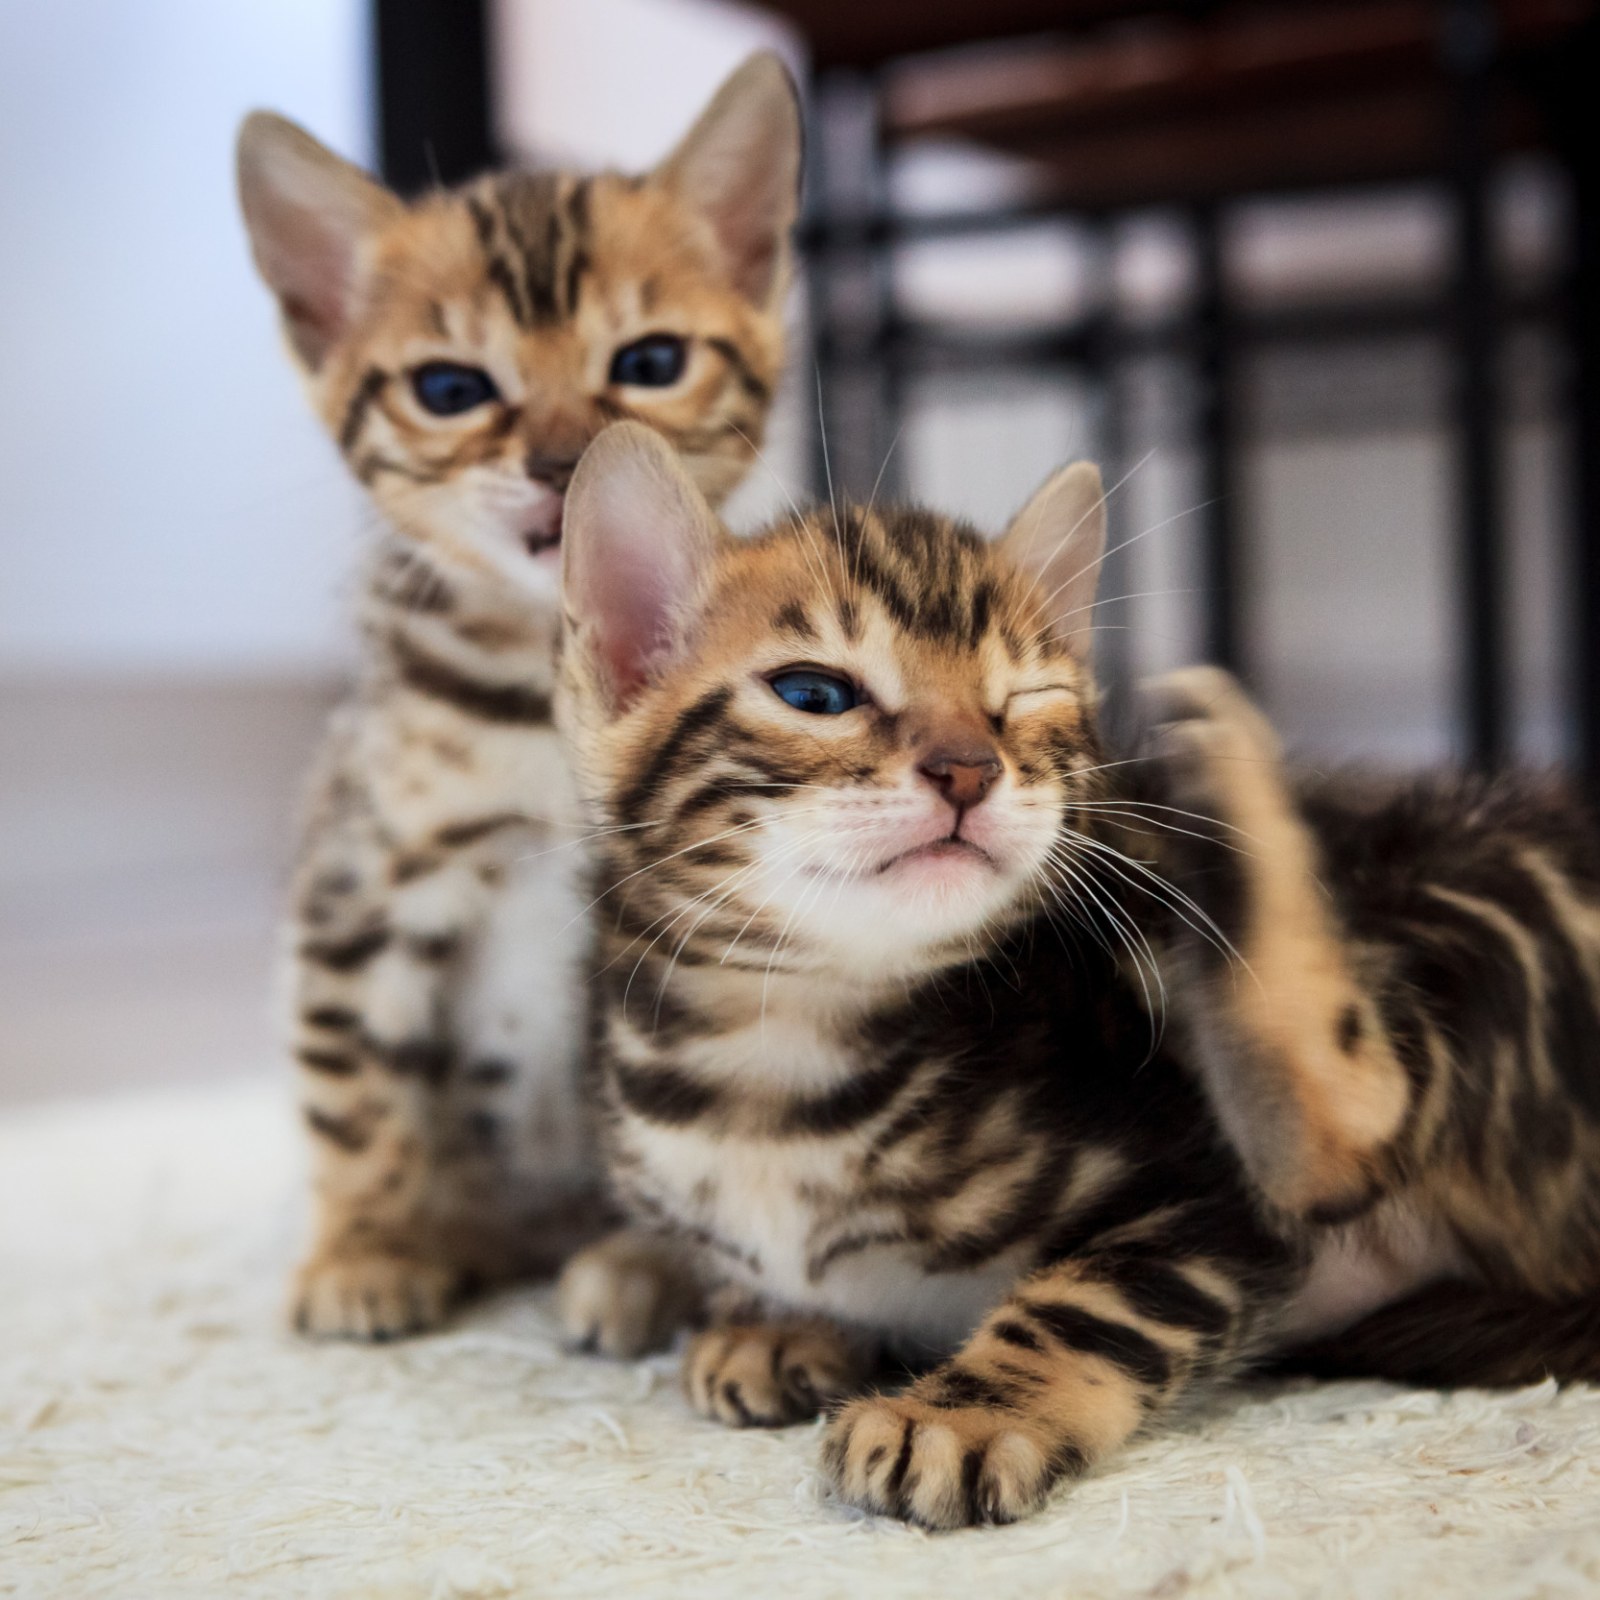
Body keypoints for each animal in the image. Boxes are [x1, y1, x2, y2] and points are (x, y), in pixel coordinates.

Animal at [233, 53, 806, 1337]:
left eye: (649, 363)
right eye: (451, 387)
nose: (558, 459)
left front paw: (659, 1263)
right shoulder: (360, 884)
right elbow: (355, 1086)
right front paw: (365, 1245)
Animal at [553, 425, 1600, 1536]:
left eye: (1025, 700)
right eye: (814, 694)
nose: (968, 768)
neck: (782, 1045)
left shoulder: (1201, 1198)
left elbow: (1088, 1305)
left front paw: (959, 1414)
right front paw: (770, 1318)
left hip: (1490, 898)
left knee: (1351, 1135)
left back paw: (1232, 816)